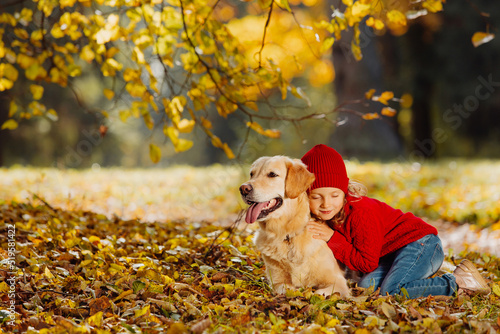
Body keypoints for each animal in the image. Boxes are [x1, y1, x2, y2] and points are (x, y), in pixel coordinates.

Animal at [239, 155, 350, 296]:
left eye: (272, 174)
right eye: (251, 174)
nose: (243, 189)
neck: (287, 235)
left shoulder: (338, 282)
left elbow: (319, 293)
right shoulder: (277, 281)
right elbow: (286, 289)